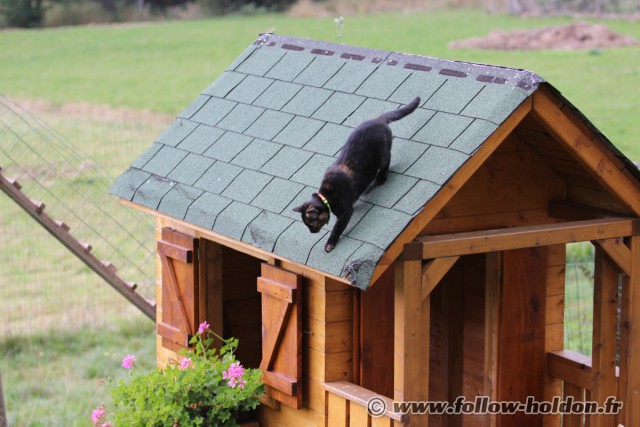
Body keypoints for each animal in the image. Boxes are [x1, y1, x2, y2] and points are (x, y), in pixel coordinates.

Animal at [294, 97, 420, 252]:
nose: (312, 232)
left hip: (383, 155)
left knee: (386, 163)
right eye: (307, 225)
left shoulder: (345, 213)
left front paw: (329, 244)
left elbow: (336, 229)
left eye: (311, 224)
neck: (327, 197)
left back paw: (380, 178)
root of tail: (377, 119)